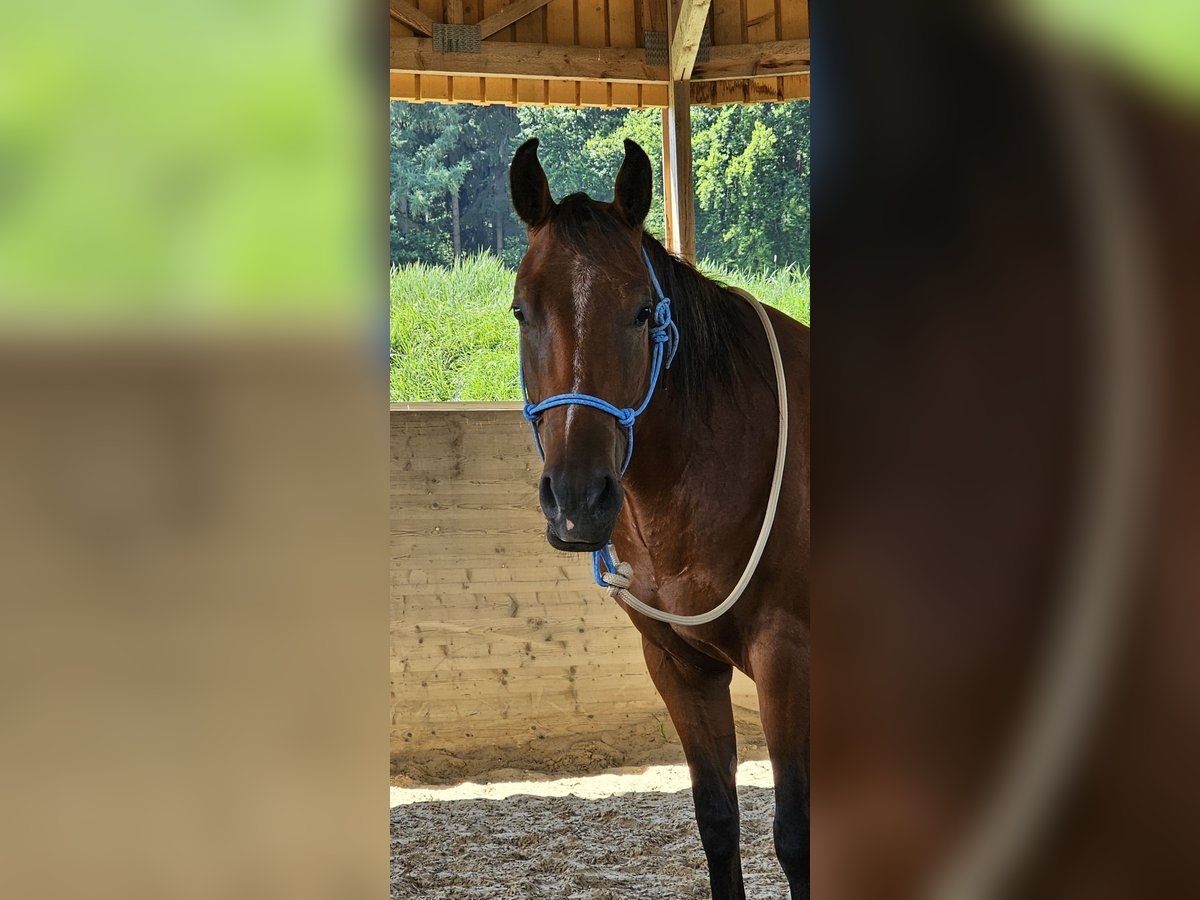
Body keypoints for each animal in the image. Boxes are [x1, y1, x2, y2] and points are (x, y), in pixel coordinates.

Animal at [508, 137, 810, 900]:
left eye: (645, 311)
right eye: (523, 310)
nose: (577, 500)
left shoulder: (788, 656)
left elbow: (796, 835)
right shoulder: (677, 664)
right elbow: (717, 821)